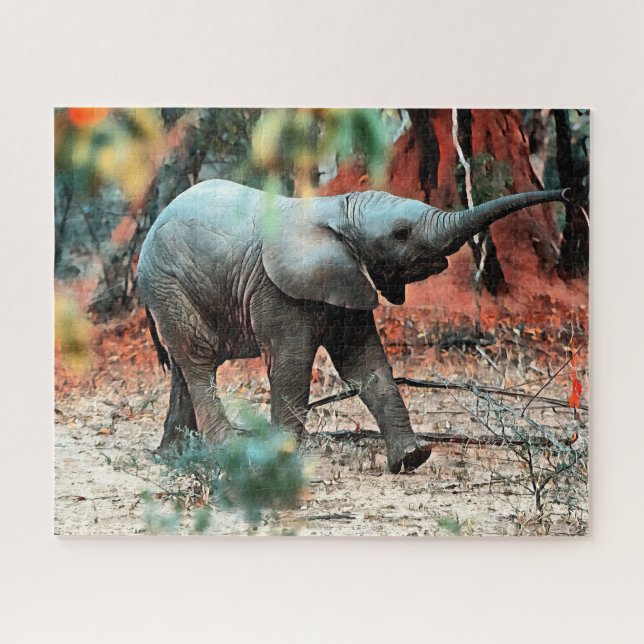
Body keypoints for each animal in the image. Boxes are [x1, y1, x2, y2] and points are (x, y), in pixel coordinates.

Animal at [136, 179, 568, 473]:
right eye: (401, 233)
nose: (567, 193)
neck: (338, 210)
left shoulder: (348, 281)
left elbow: (365, 364)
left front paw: (411, 458)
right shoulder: (275, 289)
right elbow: (292, 369)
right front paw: (278, 464)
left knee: (183, 367)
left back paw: (173, 456)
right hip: (168, 283)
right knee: (199, 359)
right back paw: (227, 454)